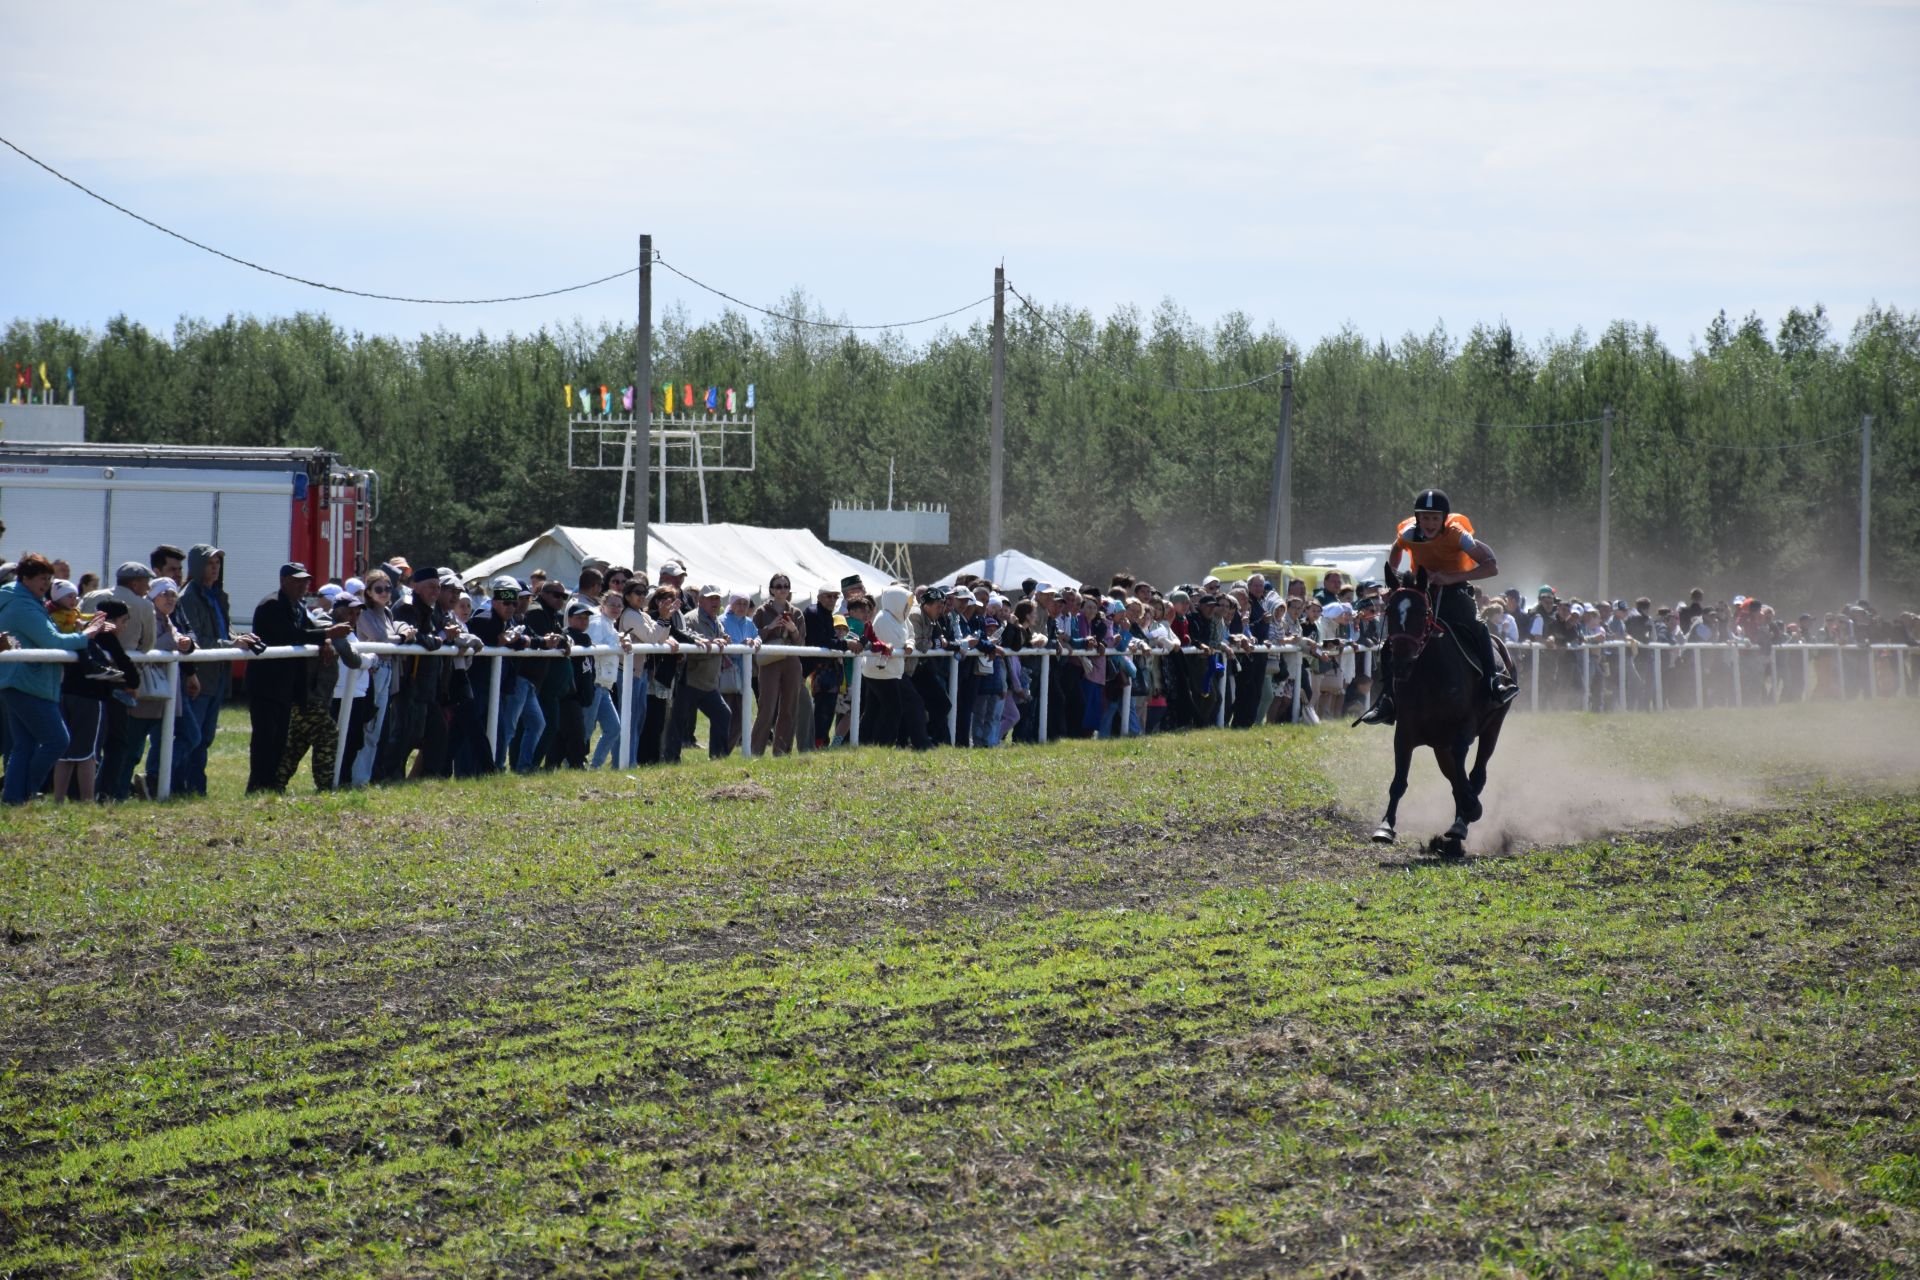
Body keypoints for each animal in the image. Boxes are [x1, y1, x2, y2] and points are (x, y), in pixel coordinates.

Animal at [1367, 571, 1512, 859]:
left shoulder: (1463, 730)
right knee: (1455, 778)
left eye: (1423, 612)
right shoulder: (1405, 733)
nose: (1401, 662)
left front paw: (1471, 810)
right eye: (1389, 610)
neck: (1431, 674)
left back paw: (1461, 823)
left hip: (1493, 726)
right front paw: (1385, 827)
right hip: (1438, 744)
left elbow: (1465, 775)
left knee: (1477, 774)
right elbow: (1399, 781)